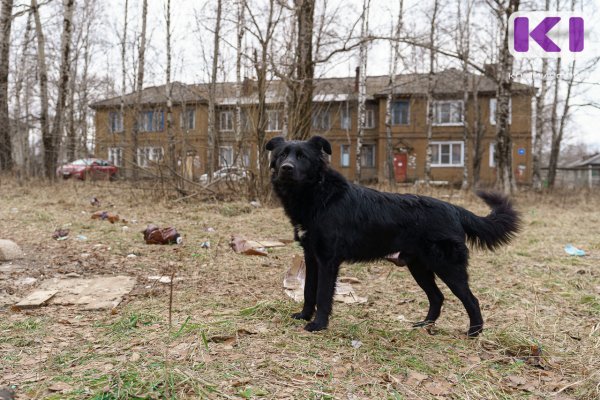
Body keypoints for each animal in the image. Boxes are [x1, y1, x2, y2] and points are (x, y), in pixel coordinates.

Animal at [268, 136, 520, 336]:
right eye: (282, 155)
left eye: (303, 157)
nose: (286, 168)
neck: (318, 195)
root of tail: (454, 209)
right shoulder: (311, 257)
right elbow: (309, 291)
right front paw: (303, 315)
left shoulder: (328, 260)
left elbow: (322, 294)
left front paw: (318, 325)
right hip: (419, 267)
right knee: (437, 297)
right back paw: (424, 325)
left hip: (448, 268)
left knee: (471, 300)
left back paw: (474, 333)